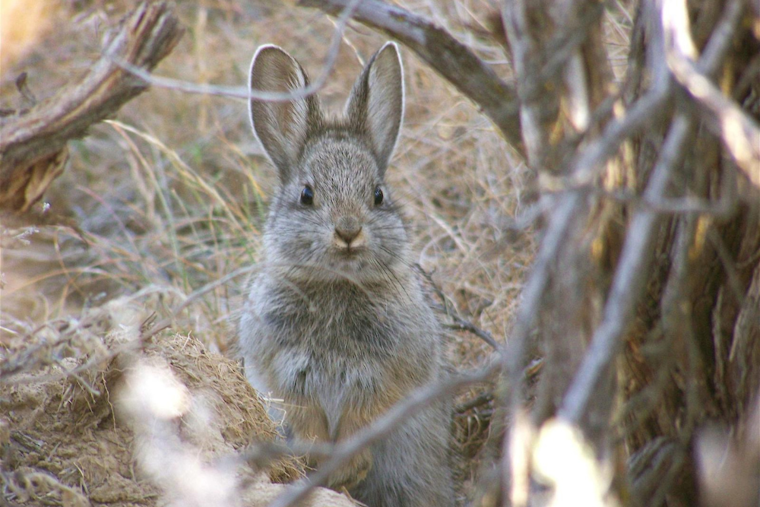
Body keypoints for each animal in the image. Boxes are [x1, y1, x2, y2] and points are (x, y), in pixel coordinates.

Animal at [237, 42, 456, 507]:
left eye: (378, 195)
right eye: (307, 194)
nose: (349, 231)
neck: (337, 283)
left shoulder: (390, 372)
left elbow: (368, 415)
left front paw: (349, 467)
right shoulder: (282, 371)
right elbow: (304, 416)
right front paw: (322, 465)